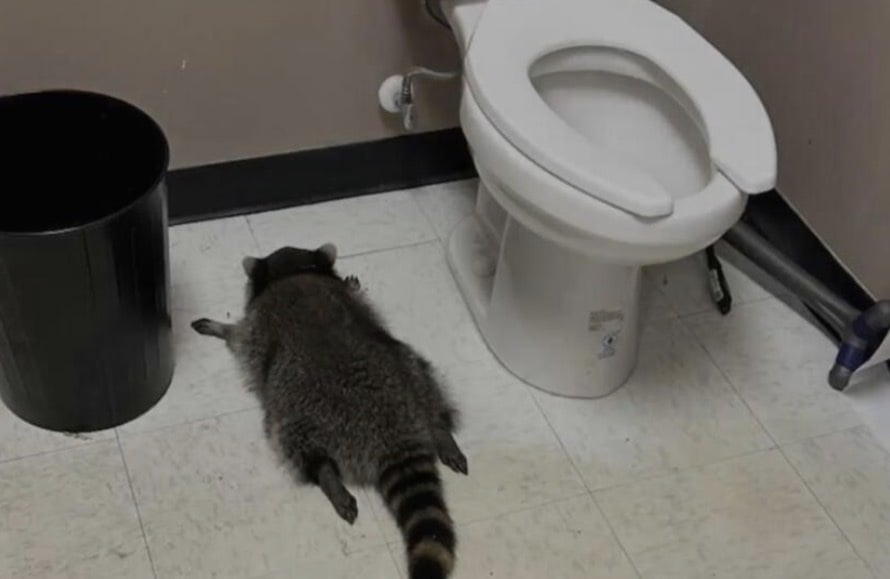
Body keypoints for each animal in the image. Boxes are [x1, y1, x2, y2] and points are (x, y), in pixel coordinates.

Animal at [191, 244, 467, 579]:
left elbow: (240, 337)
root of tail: (392, 430)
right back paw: (441, 430)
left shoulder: (257, 325)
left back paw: (326, 475)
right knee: (427, 383)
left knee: (295, 442)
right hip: (409, 368)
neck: (294, 272)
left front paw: (222, 327)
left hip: (299, 411)